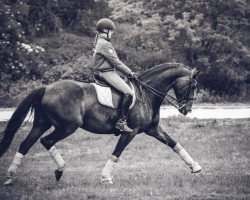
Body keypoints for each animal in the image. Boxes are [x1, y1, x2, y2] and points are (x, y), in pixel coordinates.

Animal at [0, 62, 201, 186]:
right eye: (193, 86)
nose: (187, 109)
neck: (147, 94)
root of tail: (47, 88)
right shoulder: (130, 132)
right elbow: (116, 153)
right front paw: (106, 178)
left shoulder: (153, 129)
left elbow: (174, 144)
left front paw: (196, 167)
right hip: (67, 126)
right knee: (46, 141)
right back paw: (59, 170)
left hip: (41, 124)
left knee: (25, 145)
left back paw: (10, 178)